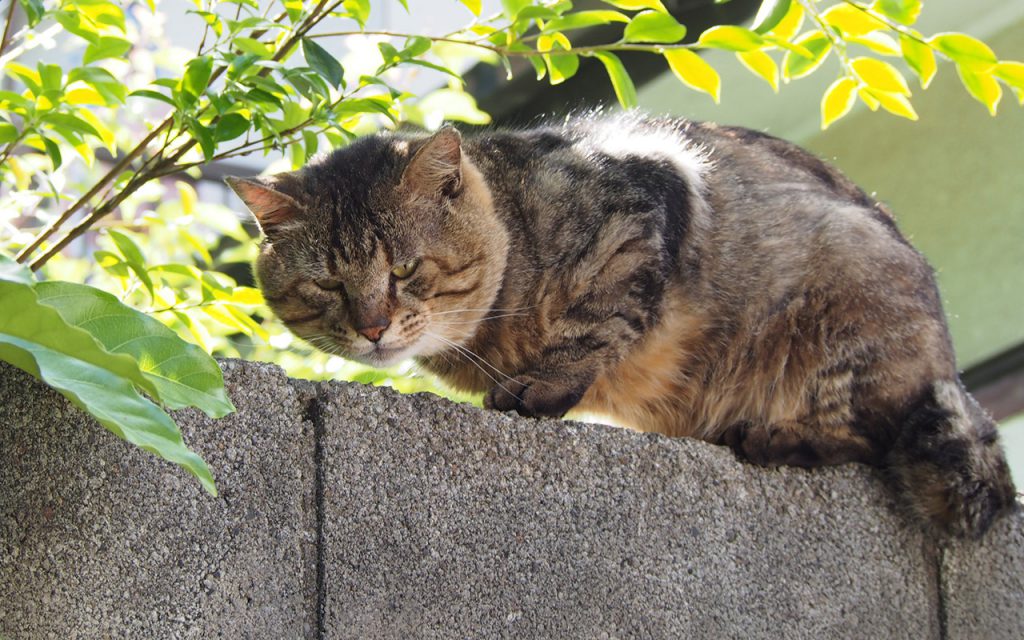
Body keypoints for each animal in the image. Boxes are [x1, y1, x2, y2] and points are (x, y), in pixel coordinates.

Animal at [228, 112, 1019, 536]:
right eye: (329, 284)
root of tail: (945, 363)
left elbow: (601, 318)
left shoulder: (644, 203)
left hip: (849, 313)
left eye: (405, 269)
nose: (373, 327)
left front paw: (544, 383)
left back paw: (778, 434)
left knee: (873, 430)